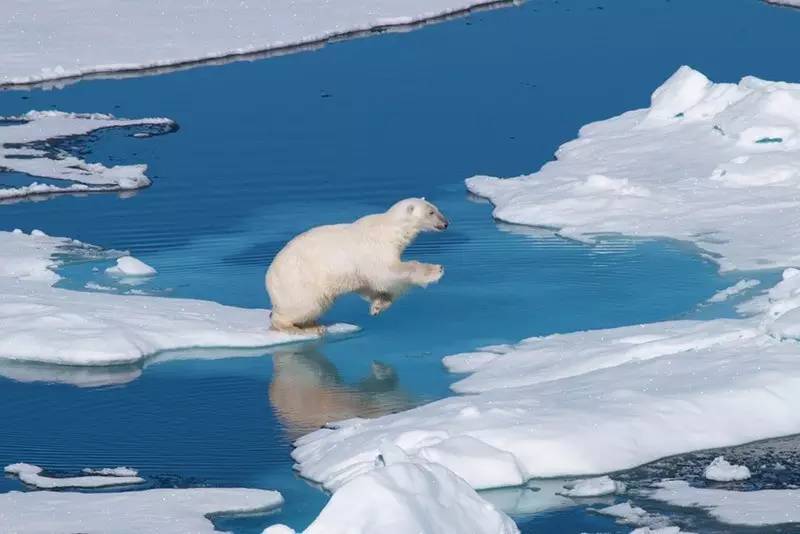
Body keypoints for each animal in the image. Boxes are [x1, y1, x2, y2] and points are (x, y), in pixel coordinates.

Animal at [266, 199, 446, 336]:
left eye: (437, 209)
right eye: (431, 212)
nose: (445, 223)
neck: (389, 229)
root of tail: (269, 277)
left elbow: (368, 284)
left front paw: (378, 306)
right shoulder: (375, 248)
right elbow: (388, 273)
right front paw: (436, 270)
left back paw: (314, 326)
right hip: (299, 281)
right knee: (304, 306)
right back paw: (295, 327)